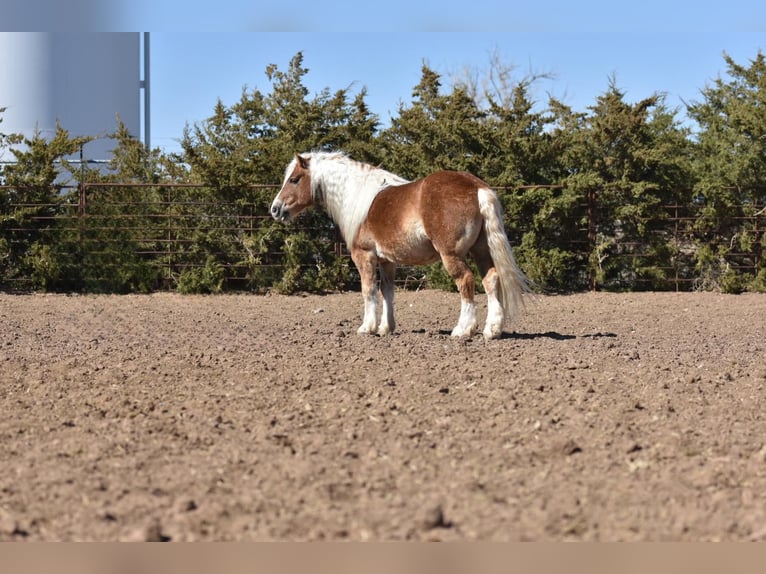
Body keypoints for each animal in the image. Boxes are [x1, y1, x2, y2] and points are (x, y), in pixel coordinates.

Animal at [272, 153, 536, 342]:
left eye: (294, 179)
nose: (275, 209)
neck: (357, 197)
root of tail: (476, 187)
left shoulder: (364, 256)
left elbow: (368, 290)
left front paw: (367, 327)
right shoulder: (387, 261)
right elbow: (387, 292)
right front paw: (385, 328)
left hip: (452, 255)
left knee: (466, 281)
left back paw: (463, 329)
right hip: (481, 250)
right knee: (491, 279)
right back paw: (492, 330)